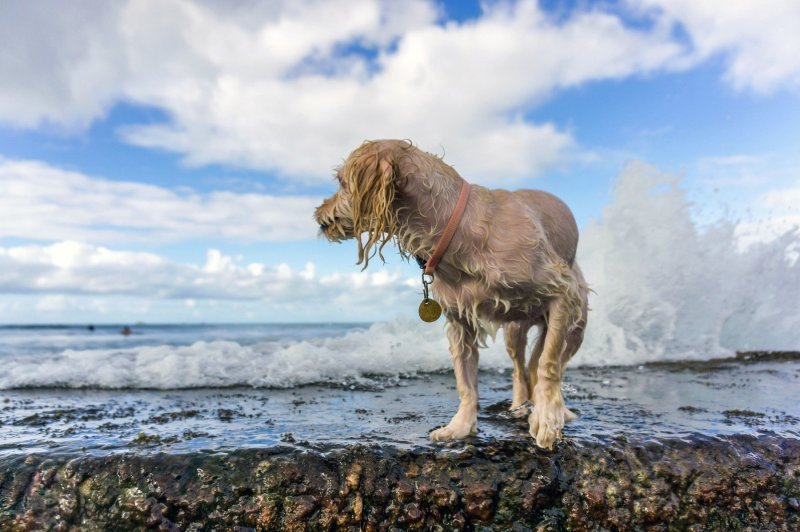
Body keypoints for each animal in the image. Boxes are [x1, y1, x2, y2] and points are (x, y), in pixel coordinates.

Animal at [314, 139, 588, 446]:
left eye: (341, 182)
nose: (318, 213)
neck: (455, 229)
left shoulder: (561, 293)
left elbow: (548, 365)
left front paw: (546, 418)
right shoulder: (460, 323)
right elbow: (465, 382)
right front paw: (460, 426)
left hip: (575, 325)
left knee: (554, 360)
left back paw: (557, 409)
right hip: (515, 330)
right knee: (519, 368)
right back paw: (519, 406)